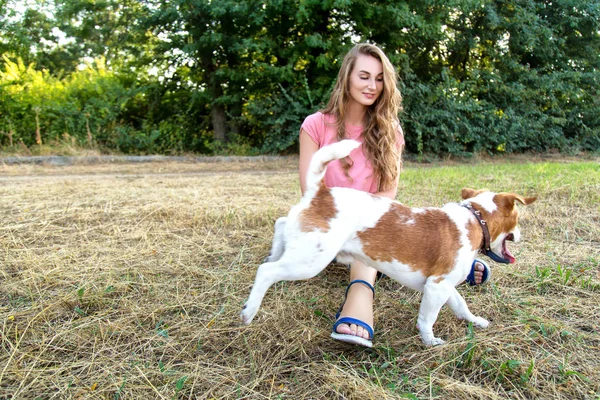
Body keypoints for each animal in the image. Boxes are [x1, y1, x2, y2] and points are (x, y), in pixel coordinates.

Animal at [241, 139, 536, 346]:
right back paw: (249, 310)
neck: (475, 218)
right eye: (518, 220)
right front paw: (430, 342)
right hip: (310, 261)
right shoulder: (436, 287)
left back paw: (274, 251)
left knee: (280, 225)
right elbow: (427, 319)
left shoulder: (445, 286)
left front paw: (475, 321)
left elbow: (461, 306)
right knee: (266, 272)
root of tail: (321, 193)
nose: (521, 234)